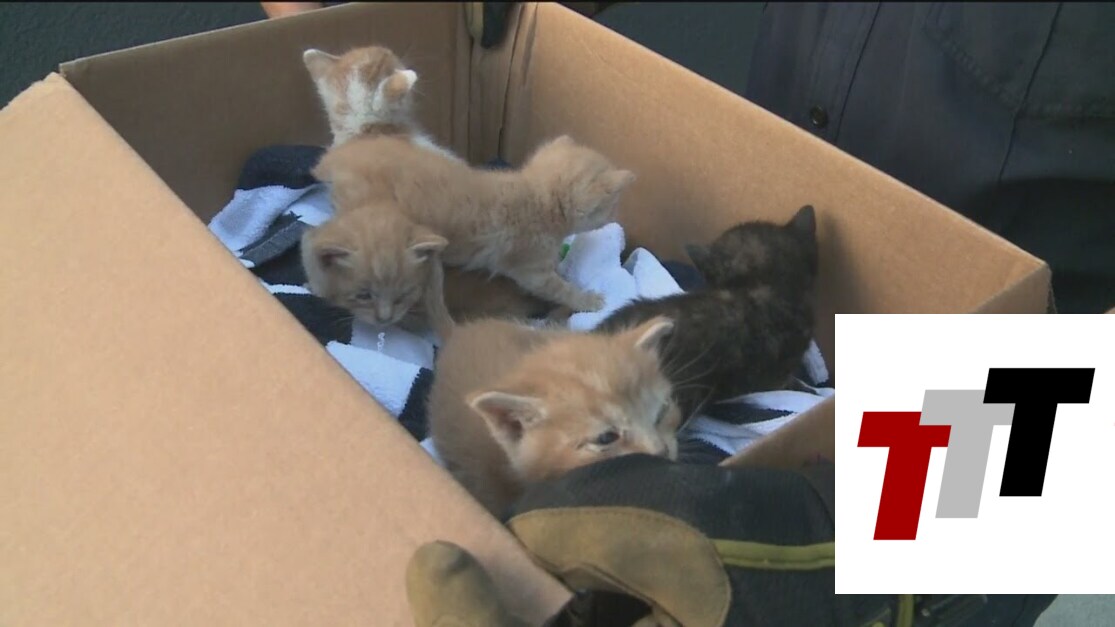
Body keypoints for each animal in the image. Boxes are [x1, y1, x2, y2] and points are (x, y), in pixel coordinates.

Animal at [311, 133, 636, 316]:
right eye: (613, 206)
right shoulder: (531, 269)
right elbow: (557, 287)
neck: (534, 196)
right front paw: (588, 299)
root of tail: (338, 157)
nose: (617, 216)